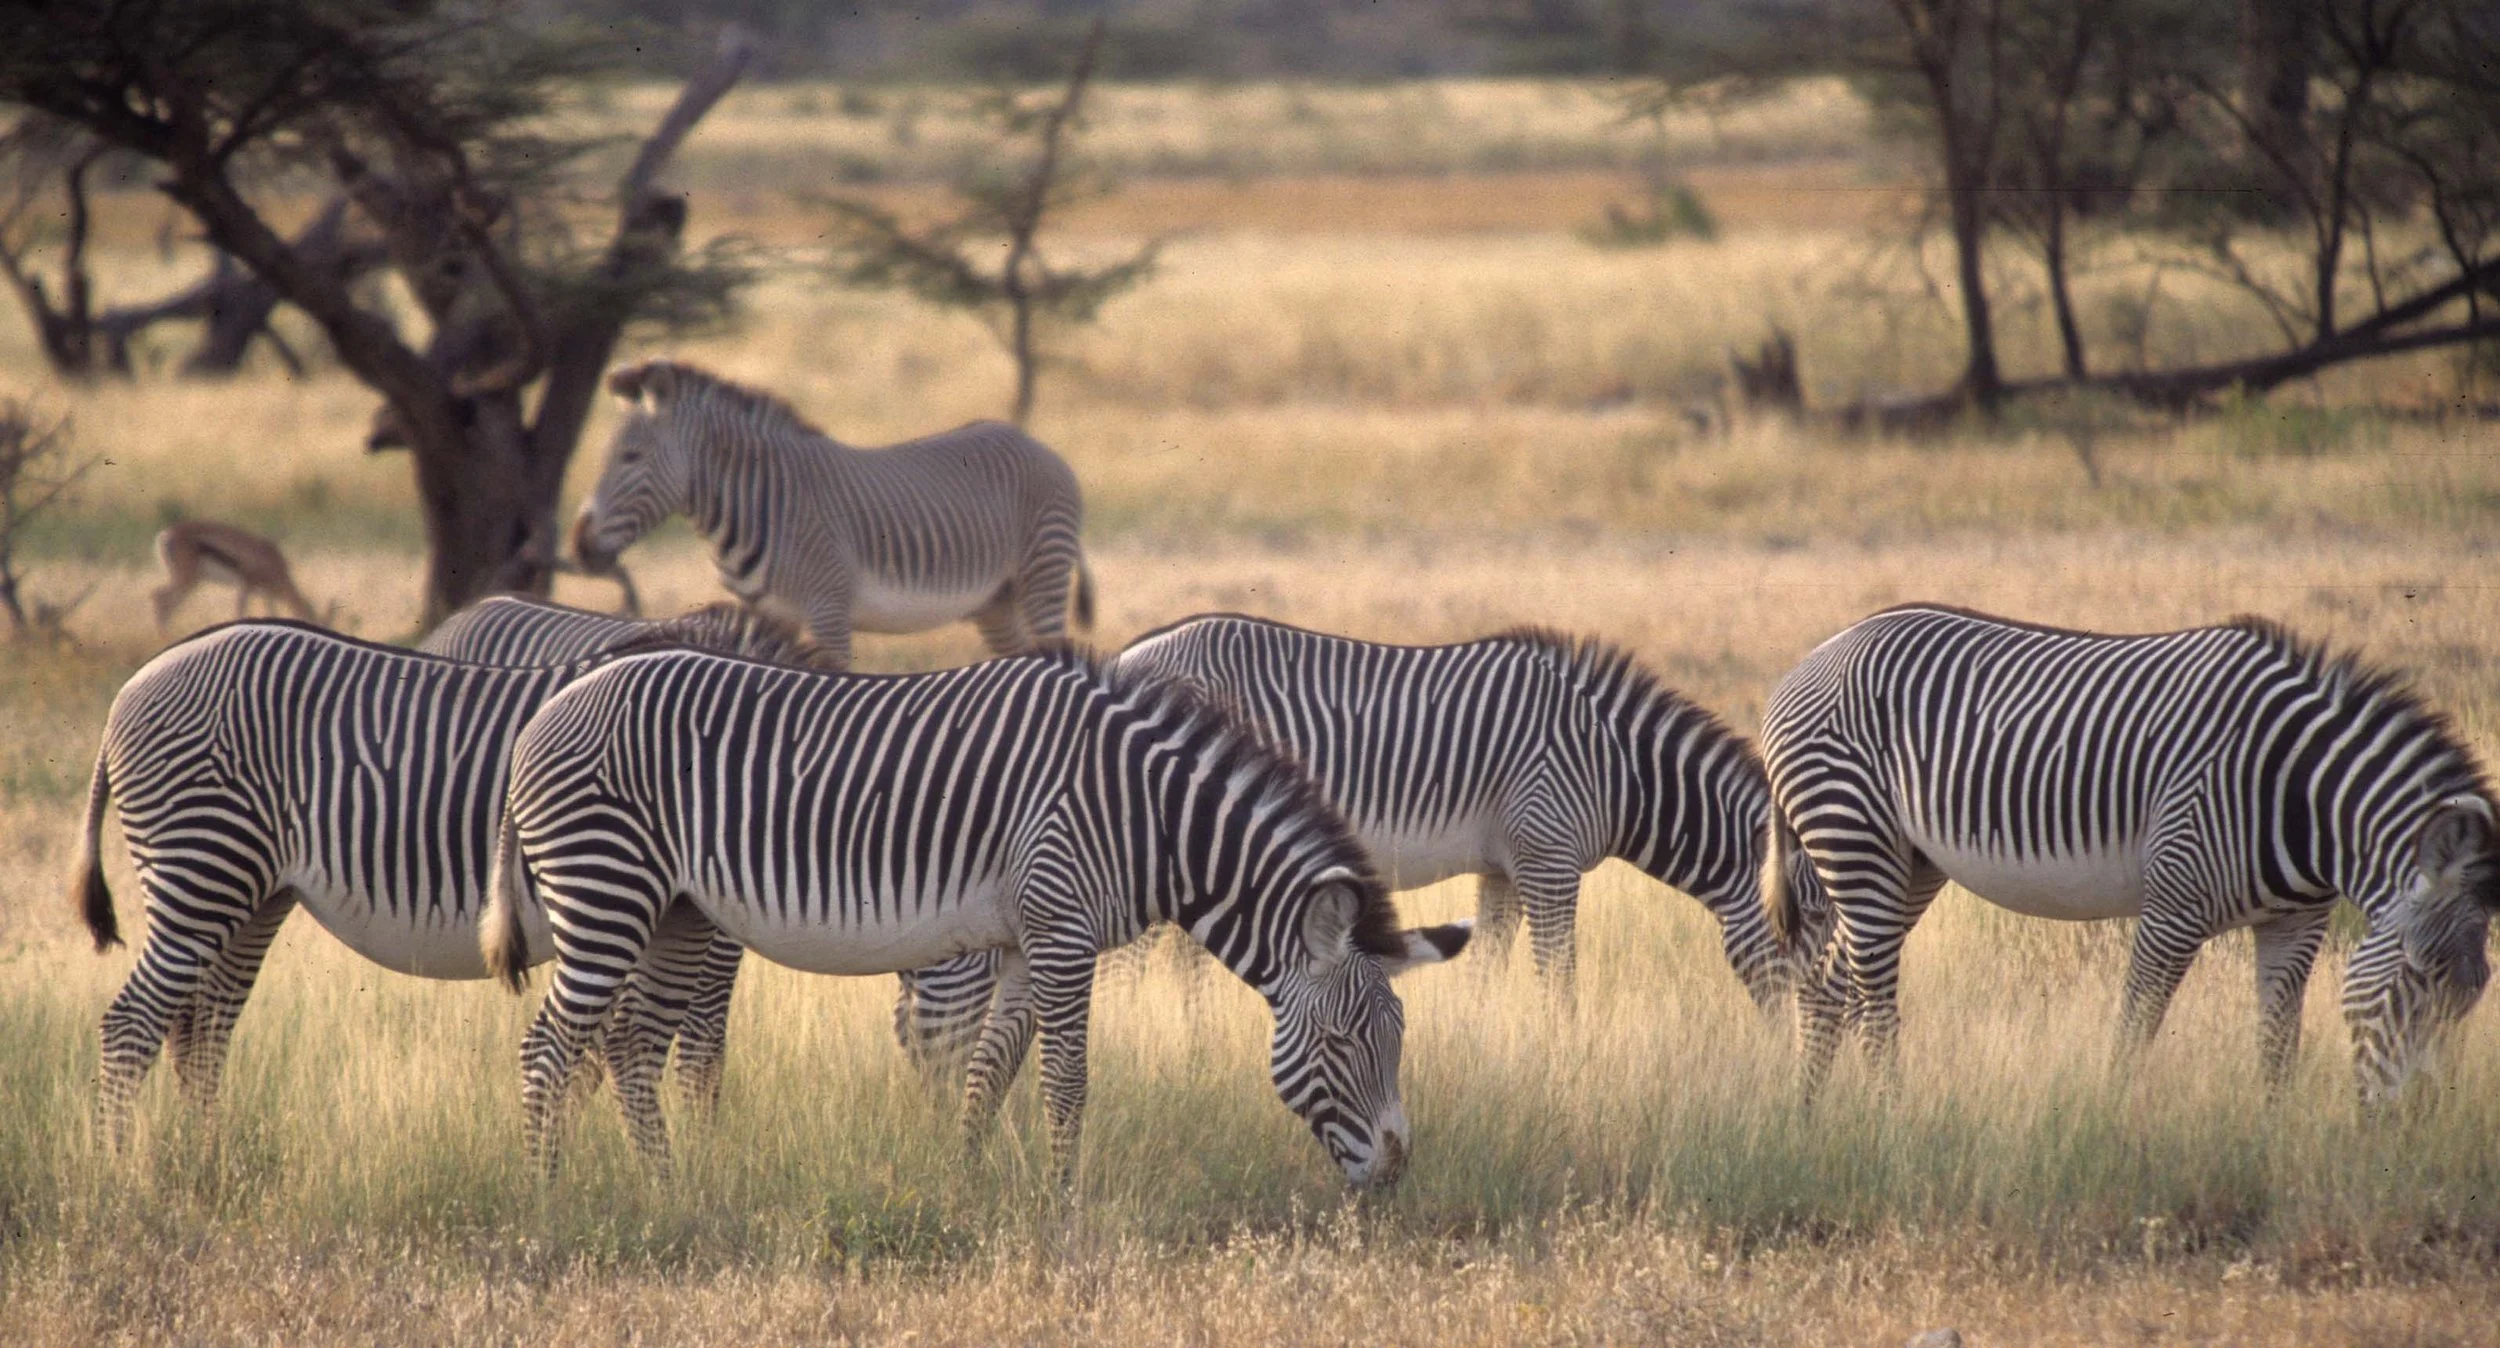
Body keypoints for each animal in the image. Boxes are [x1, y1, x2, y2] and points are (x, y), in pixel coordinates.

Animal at [64, 617, 785, 1147]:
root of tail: (136, 681)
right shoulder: (660, 908)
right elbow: (687, 1051)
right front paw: (678, 1162)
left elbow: (615, 1053)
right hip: (202, 866)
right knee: (134, 1024)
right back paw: (121, 1168)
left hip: (253, 896)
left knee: (199, 1032)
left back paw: (204, 1159)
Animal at [481, 644, 1472, 1187]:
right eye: (1342, 1044)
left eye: (1398, 1040)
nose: (1395, 1173)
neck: (1144, 811)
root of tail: (542, 715)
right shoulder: (1065, 930)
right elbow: (1066, 1083)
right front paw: (1065, 1207)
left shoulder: (1033, 939)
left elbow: (990, 1071)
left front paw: (968, 1180)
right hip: (608, 890)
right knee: (548, 1049)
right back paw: (548, 1194)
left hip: (677, 911)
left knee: (629, 1049)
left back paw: (669, 1189)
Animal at [571, 359, 1095, 670]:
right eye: (605, 455)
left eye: (631, 457)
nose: (580, 544)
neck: (764, 501)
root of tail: (1037, 443)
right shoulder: (769, 615)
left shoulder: (829, 610)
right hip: (996, 601)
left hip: (1043, 575)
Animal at [888, 615, 1818, 1061]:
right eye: (1812, 939)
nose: (1791, 1051)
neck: (1617, 762)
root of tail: (1129, 657)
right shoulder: (1550, 853)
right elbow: (1559, 976)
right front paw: (1565, 1048)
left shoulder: (1505, 864)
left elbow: (1496, 965)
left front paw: (1495, 1040)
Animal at [1756, 603, 2499, 1106]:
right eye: (2420, 975)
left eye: (2476, 992)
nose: (2416, 1121)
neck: (2297, 790)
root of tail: (1817, 653)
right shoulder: (2175, 903)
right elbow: (2136, 1026)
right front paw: (2109, 1123)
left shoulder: (2296, 921)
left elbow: (2277, 1041)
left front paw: (2272, 1135)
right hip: (1856, 839)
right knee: (1871, 993)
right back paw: (1891, 1114)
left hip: (1909, 864)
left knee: (1825, 982)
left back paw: (1811, 1118)